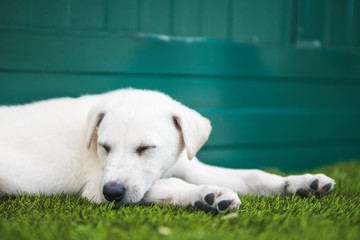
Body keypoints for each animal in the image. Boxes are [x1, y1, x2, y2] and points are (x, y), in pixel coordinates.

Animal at [0, 89, 334, 212]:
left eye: (146, 148)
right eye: (104, 147)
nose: (112, 193)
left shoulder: (187, 163)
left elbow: (253, 175)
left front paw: (301, 183)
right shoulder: (94, 188)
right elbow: (163, 185)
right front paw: (208, 194)